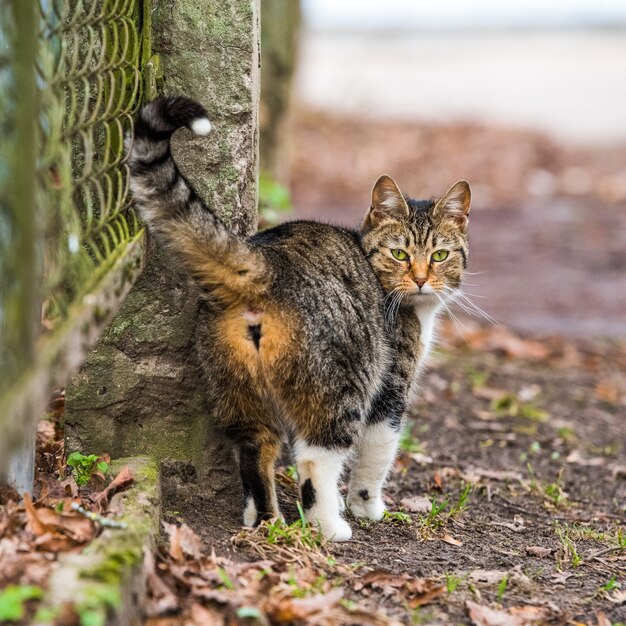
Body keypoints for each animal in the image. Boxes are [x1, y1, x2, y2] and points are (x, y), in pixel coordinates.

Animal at [127, 95, 468, 540]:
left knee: (256, 450)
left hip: (240, 390)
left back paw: (266, 520)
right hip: (340, 388)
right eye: (400, 254)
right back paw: (330, 527)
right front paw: (367, 507)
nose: (423, 279)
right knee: (315, 459)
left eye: (440, 255)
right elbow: (377, 455)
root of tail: (267, 261)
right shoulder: (391, 390)